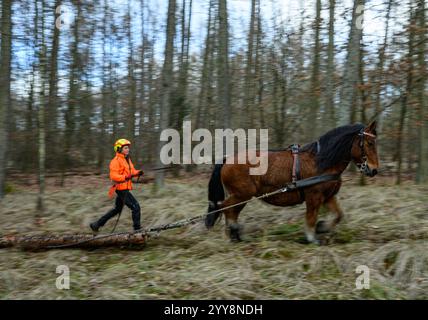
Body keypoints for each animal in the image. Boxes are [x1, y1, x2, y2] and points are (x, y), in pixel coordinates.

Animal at [206, 121, 380, 244]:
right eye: (369, 144)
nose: (374, 170)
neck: (320, 161)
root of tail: (228, 159)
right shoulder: (314, 197)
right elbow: (311, 218)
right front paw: (311, 238)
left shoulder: (328, 197)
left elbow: (338, 215)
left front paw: (322, 228)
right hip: (242, 194)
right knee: (224, 207)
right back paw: (233, 232)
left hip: (242, 196)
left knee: (231, 211)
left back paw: (235, 235)